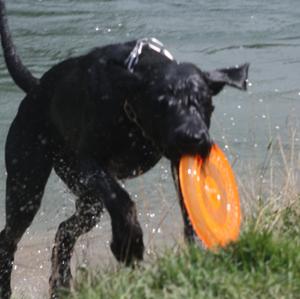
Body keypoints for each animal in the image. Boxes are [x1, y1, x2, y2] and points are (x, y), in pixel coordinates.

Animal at [0, 1, 248, 298]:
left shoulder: (177, 160)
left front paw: (195, 247)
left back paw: (61, 284)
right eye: (162, 104)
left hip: (86, 199)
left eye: (205, 102)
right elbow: (120, 198)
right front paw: (129, 241)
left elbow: (188, 207)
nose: (193, 138)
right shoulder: (91, 161)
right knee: (8, 238)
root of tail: (36, 87)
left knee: (64, 230)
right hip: (27, 184)